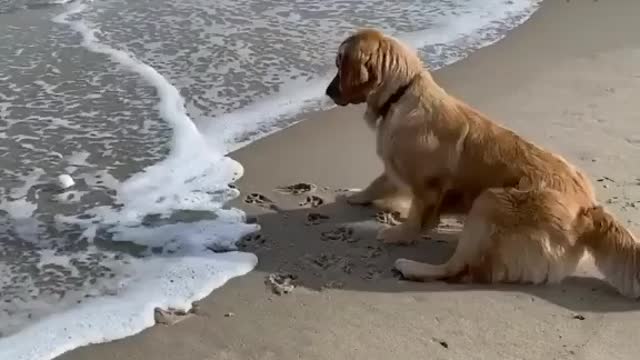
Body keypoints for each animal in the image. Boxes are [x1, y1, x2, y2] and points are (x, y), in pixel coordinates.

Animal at [328, 27, 636, 298]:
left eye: (339, 64)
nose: (328, 93)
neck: (400, 94)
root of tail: (588, 208)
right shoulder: (396, 167)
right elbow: (378, 182)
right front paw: (355, 196)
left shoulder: (427, 186)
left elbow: (415, 218)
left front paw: (397, 234)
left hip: (490, 203)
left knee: (460, 269)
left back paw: (412, 267)